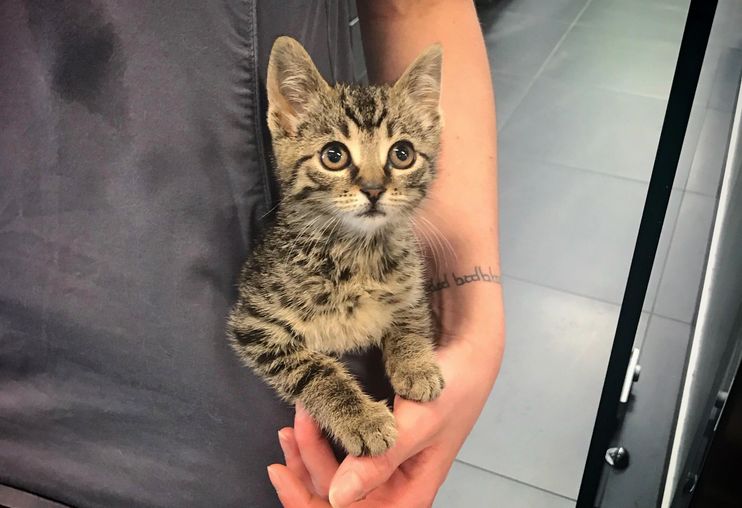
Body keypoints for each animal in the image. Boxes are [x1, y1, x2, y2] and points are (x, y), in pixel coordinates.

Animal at [227, 36, 444, 456]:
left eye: (403, 154)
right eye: (334, 155)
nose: (374, 189)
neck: (356, 252)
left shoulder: (410, 283)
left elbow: (409, 319)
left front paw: (415, 364)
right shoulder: (253, 323)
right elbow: (314, 368)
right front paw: (360, 418)